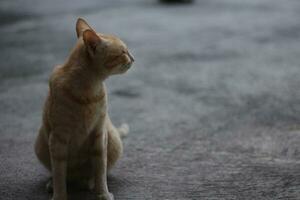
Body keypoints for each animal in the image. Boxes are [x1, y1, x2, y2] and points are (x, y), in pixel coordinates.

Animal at [33, 17, 134, 200]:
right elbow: (59, 173)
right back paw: (53, 183)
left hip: (113, 140)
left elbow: (100, 170)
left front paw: (102, 193)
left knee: (94, 173)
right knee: (58, 173)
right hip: (41, 144)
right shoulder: (58, 139)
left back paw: (89, 183)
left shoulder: (99, 135)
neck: (88, 91)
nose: (134, 58)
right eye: (123, 52)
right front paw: (59, 195)